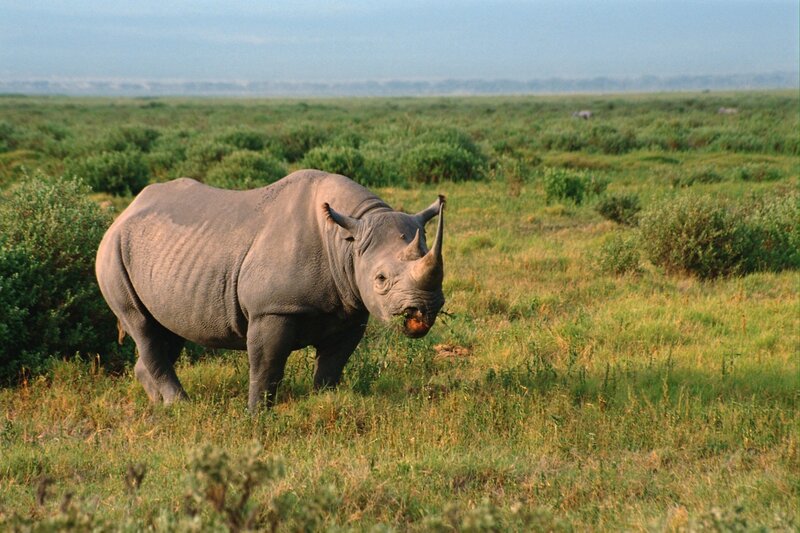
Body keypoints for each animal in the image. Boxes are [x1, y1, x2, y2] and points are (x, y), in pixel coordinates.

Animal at [95, 170, 445, 410]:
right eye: (381, 279)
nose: (423, 310)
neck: (347, 241)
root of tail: (124, 212)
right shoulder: (272, 309)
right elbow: (267, 364)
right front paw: (257, 414)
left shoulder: (351, 310)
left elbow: (333, 363)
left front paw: (323, 401)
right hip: (112, 252)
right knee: (142, 326)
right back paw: (181, 406)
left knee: (168, 329)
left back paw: (160, 404)